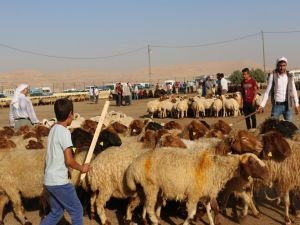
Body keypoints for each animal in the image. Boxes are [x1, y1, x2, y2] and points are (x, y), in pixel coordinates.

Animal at [125, 148, 268, 225]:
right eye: (252, 162)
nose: (266, 174)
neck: (216, 168)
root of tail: (133, 166)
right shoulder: (194, 194)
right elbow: (192, 213)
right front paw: (185, 222)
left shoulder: (206, 193)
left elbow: (211, 210)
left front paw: (212, 222)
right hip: (151, 186)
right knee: (149, 207)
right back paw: (154, 221)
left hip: (143, 188)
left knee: (134, 203)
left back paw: (132, 219)